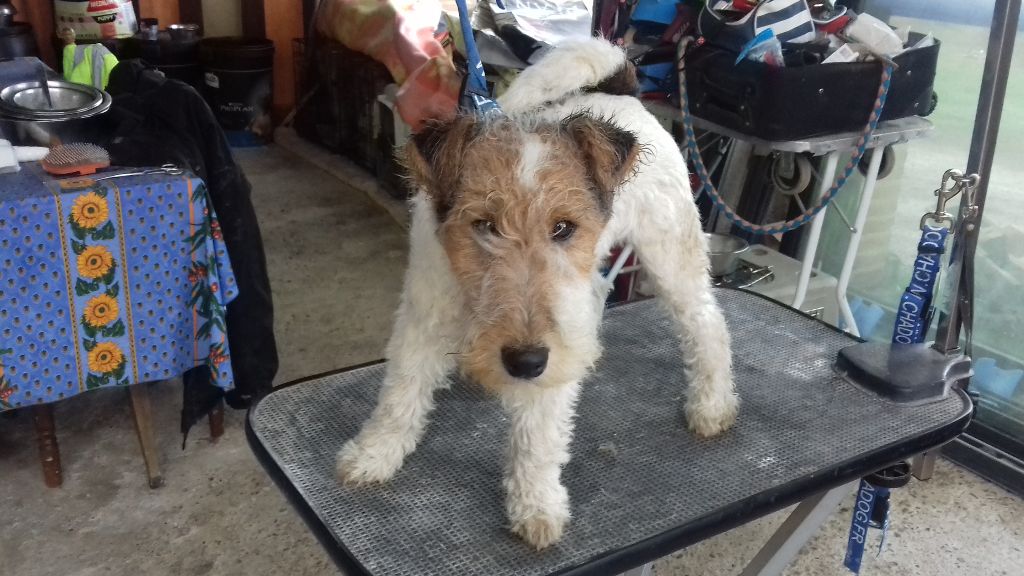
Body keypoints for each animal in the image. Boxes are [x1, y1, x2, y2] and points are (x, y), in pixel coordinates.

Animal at [336, 38, 738, 550]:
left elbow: (538, 438)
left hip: (672, 257)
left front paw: (536, 505)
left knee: (707, 324)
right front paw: (373, 455)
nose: (526, 362)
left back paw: (712, 406)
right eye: (484, 225)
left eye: (563, 227)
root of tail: (622, 93)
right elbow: (399, 396)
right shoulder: (423, 317)